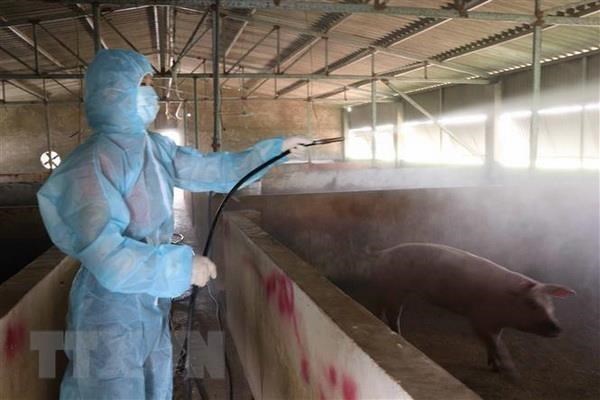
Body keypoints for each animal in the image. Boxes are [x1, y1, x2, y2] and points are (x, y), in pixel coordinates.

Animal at [336, 242, 576, 376]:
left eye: (551, 305)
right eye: (532, 303)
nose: (558, 328)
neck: (506, 305)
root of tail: (384, 252)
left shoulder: (495, 323)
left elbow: (495, 342)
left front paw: (494, 366)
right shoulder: (479, 318)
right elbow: (495, 344)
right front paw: (508, 371)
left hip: (386, 288)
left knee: (380, 308)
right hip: (395, 289)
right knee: (393, 315)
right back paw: (401, 336)